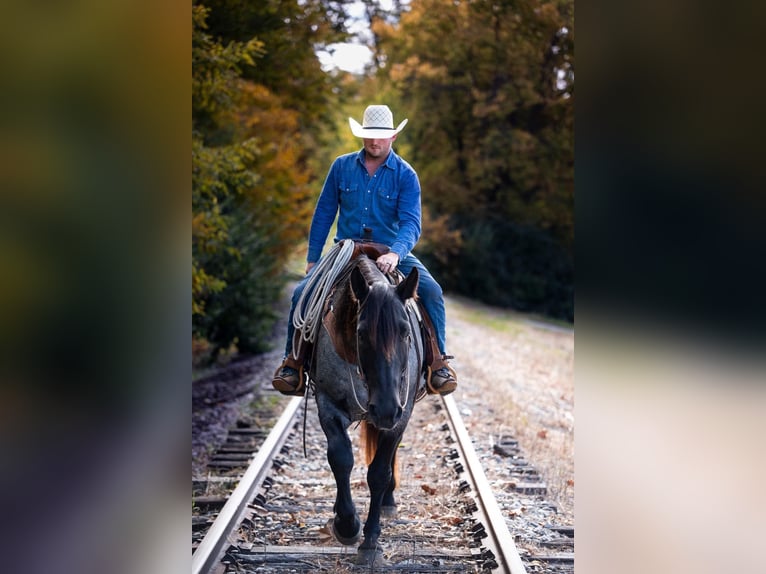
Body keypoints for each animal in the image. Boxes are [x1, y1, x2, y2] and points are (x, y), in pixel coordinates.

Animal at [308, 255, 424, 568]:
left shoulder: (401, 415)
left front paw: (371, 541)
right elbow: (341, 459)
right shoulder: (328, 404)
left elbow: (379, 473)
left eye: (405, 332)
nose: (384, 409)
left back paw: (388, 501)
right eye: (361, 333)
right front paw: (347, 524)